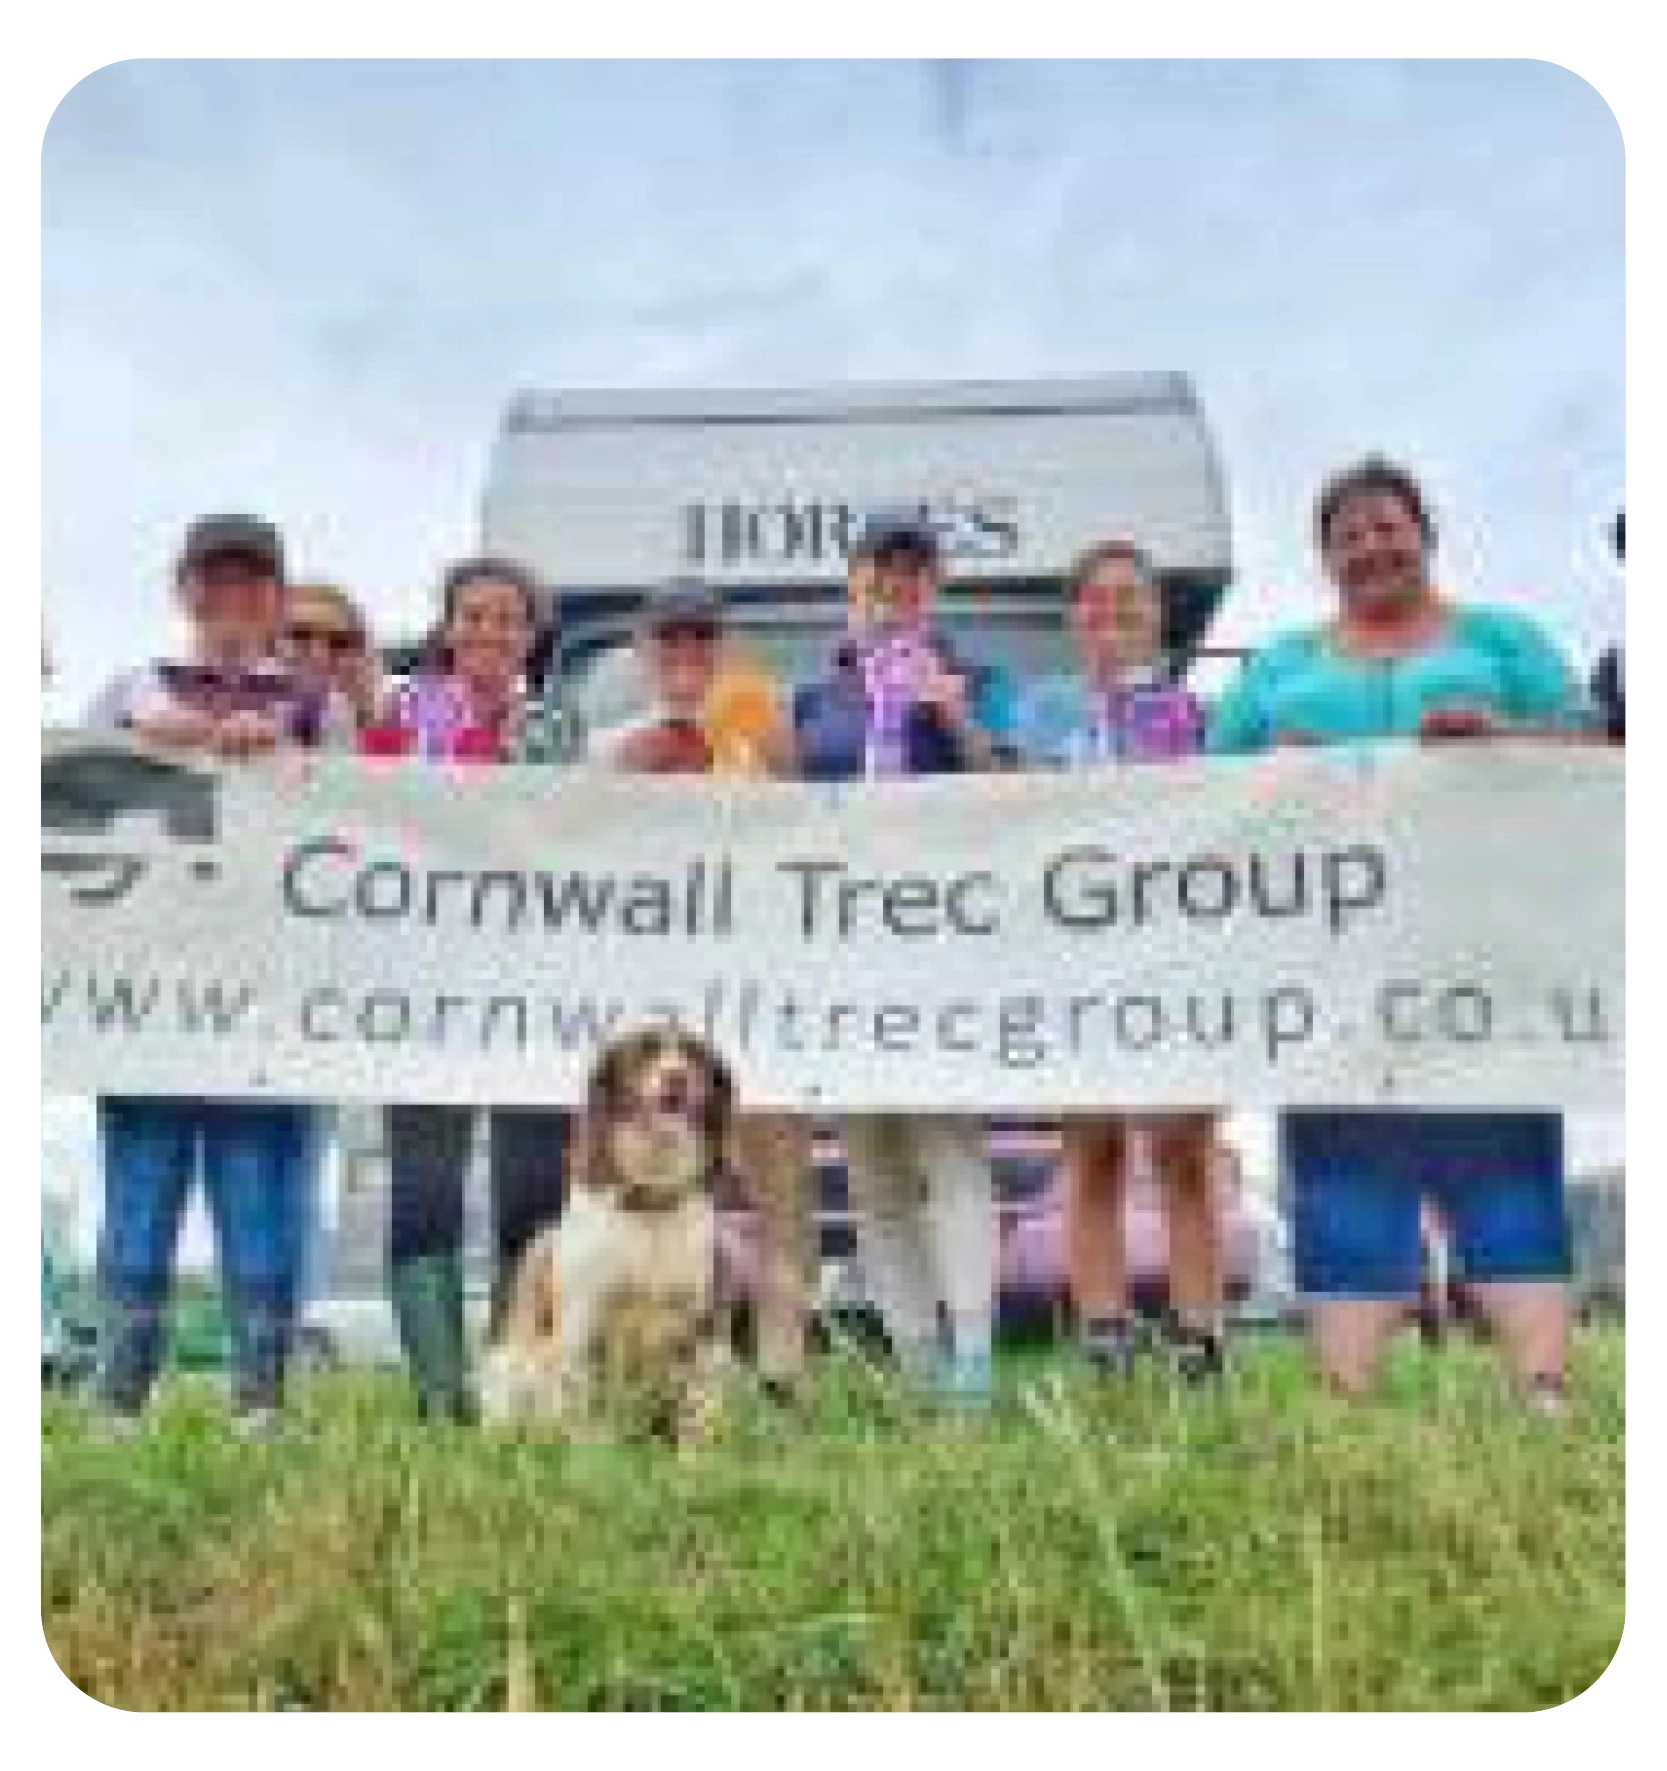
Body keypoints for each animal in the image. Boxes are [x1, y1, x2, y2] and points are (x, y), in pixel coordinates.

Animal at [481, 1020, 740, 1445]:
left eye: (694, 1053)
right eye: (645, 1051)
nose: (677, 1077)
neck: (650, 1206)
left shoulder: (703, 1329)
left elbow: (697, 1415)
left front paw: (695, 1457)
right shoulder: (582, 1326)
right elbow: (585, 1417)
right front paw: (594, 1456)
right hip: (511, 1365)